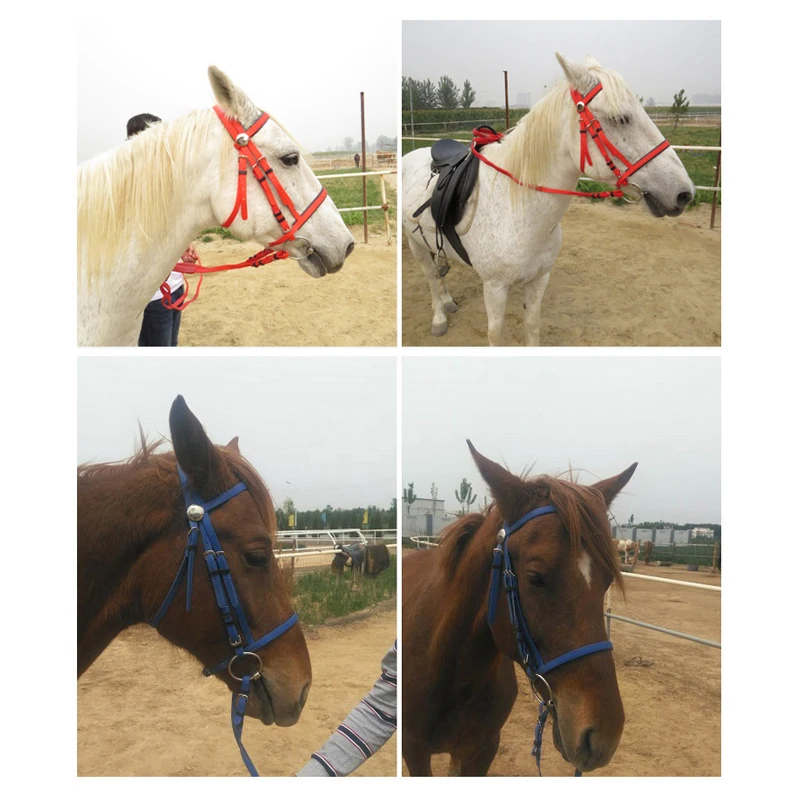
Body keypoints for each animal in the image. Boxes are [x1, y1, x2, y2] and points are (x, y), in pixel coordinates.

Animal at [402, 53, 695, 346]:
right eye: (621, 118)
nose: (684, 193)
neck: (521, 213)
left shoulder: (539, 279)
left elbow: (532, 325)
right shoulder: (495, 288)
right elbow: (495, 335)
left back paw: (448, 301)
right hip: (416, 246)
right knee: (430, 276)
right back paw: (439, 317)